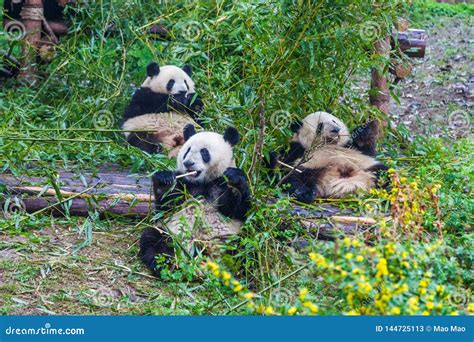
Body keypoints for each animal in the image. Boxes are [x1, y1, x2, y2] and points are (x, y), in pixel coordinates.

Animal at [138, 123, 252, 276]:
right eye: (187, 150)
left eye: (204, 152)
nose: (188, 163)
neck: (203, 182)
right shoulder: (185, 185)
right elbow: (166, 206)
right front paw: (164, 180)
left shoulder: (220, 183)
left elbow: (237, 209)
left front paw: (235, 182)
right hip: (172, 232)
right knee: (154, 239)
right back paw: (164, 264)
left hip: (228, 238)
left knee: (245, 250)